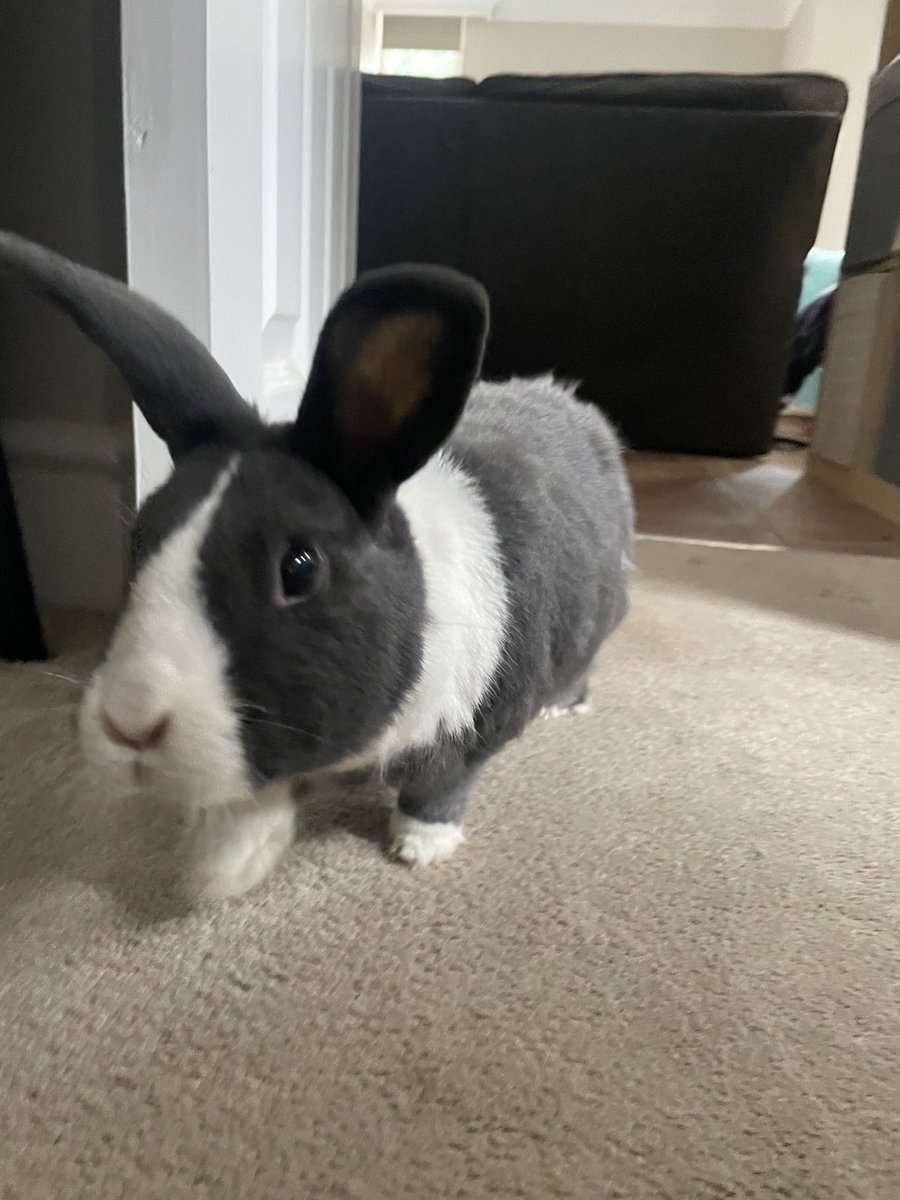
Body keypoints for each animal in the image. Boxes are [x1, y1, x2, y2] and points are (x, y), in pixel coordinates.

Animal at [0, 230, 634, 899]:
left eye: (299, 569)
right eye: (140, 539)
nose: (130, 725)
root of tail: (569, 400)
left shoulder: (472, 733)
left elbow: (441, 783)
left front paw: (420, 847)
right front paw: (221, 867)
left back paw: (566, 706)